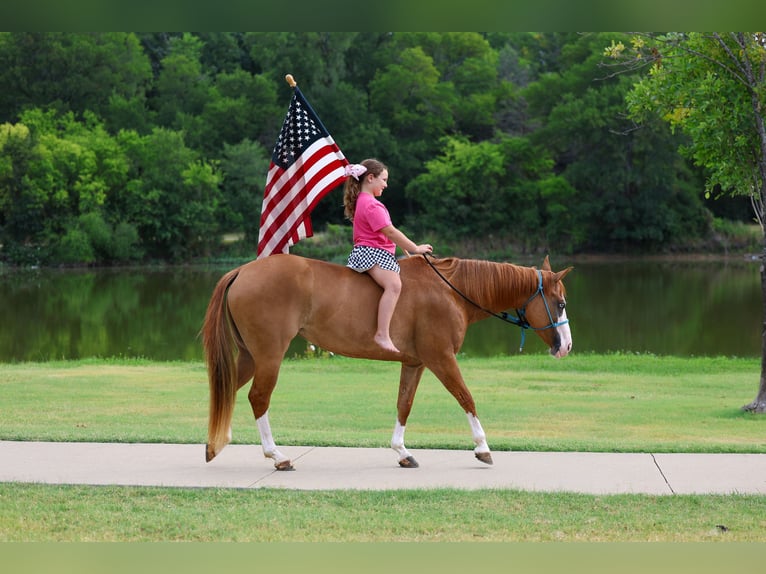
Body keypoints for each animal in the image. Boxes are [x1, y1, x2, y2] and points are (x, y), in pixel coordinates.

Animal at [202, 253, 573, 470]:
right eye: (561, 304)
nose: (567, 346)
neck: (450, 291)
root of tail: (242, 270)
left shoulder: (415, 363)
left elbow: (404, 404)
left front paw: (401, 451)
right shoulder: (441, 358)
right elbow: (466, 397)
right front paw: (482, 446)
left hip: (250, 356)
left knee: (227, 390)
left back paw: (216, 443)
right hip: (269, 355)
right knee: (258, 398)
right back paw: (276, 455)